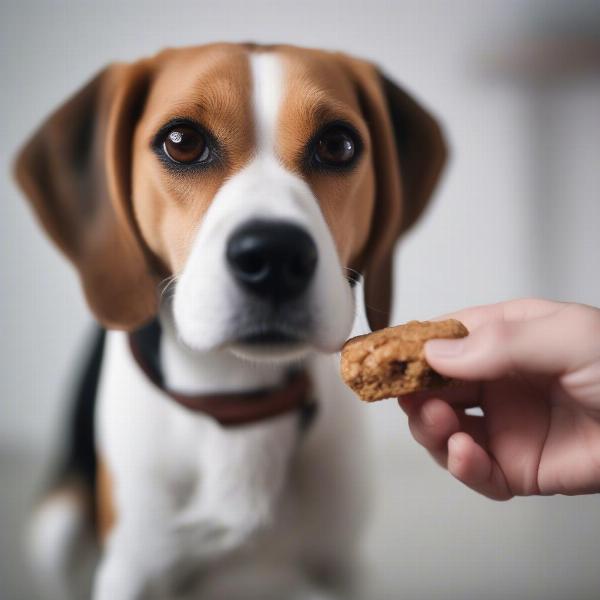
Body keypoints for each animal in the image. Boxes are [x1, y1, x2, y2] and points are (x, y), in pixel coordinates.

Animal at [12, 43, 446, 600]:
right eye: (182, 142)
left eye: (338, 145)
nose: (275, 256)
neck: (242, 398)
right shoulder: (133, 570)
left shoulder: (341, 565)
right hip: (57, 527)